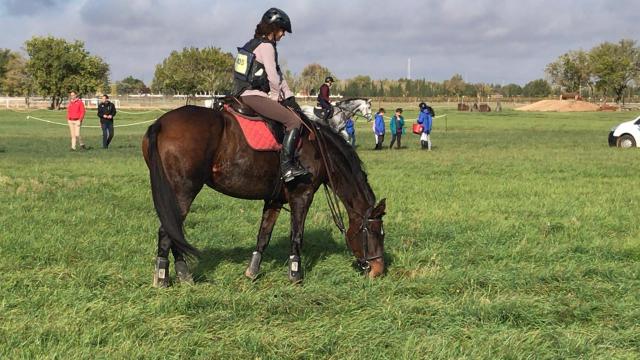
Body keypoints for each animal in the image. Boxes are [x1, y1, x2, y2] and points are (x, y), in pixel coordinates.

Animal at [141, 105, 384, 286]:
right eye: (375, 232)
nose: (378, 270)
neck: (318, 149)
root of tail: (161, 124)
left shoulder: (274, 200)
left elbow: (263, 236)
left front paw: (252, 271)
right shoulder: (302, 196)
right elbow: (297, 236)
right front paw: (295, 275)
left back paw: (182, 275)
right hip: (182, 193)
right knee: (168, 231)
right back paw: (166, 278)